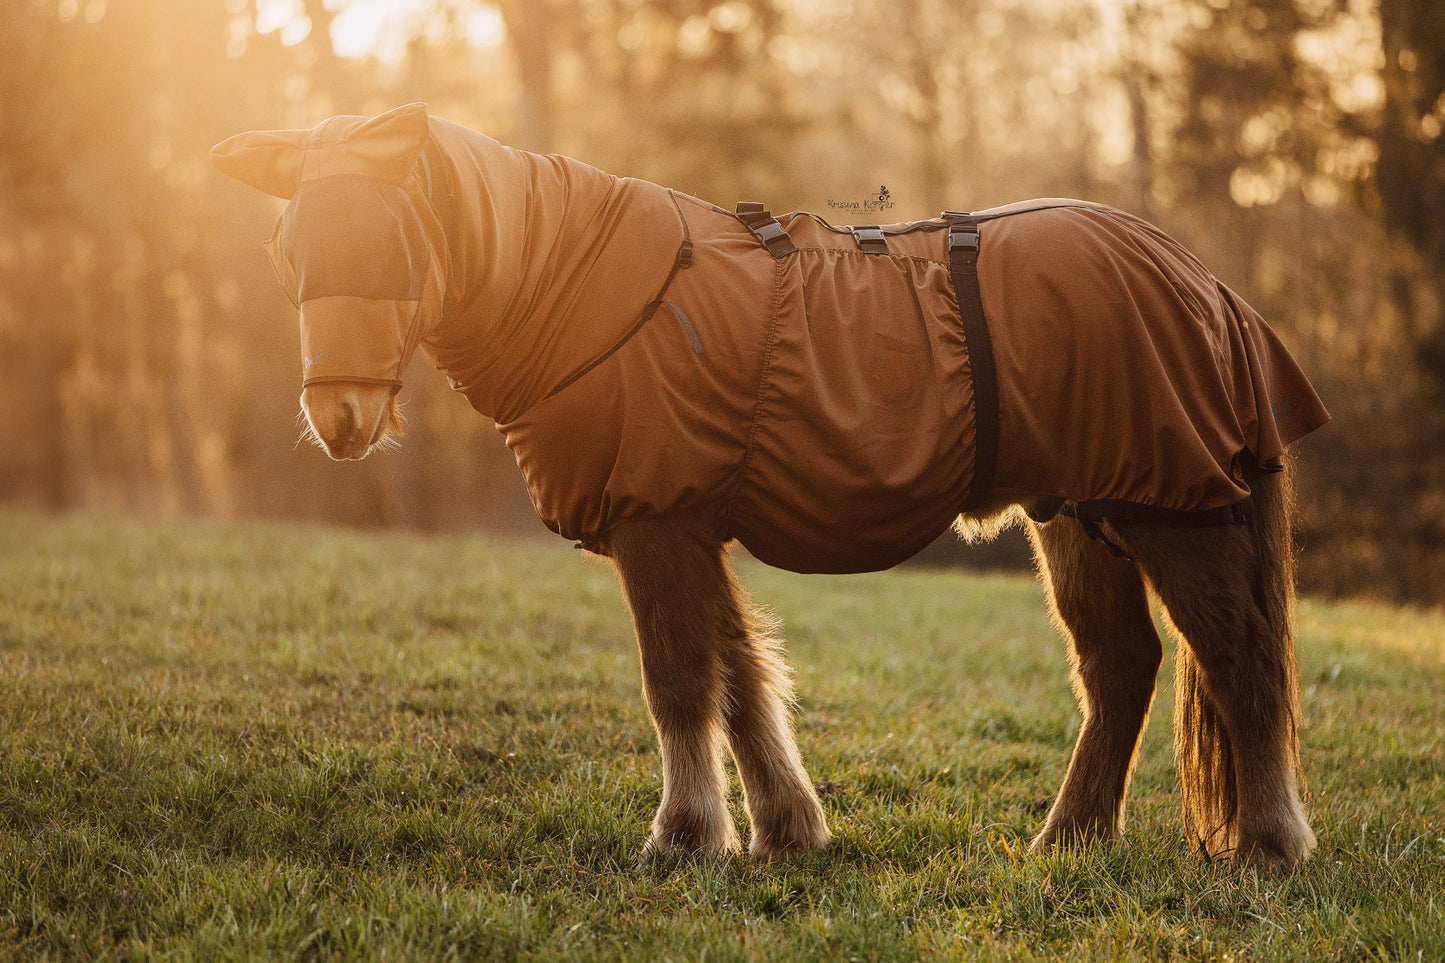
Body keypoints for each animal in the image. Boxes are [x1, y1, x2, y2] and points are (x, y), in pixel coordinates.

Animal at [209, 101, 1323, 867]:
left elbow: (677, 680)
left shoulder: (656, 523)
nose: (339, 417)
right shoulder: (688, 527)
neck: (591, 292)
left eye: (389, 244)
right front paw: (785, 829)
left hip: (1168, 511)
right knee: (1120, 666)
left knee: (1238, 662)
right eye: (287, 248)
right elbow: (739, 679)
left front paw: (683, 835)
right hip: (1079, 518)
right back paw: (1069, 839)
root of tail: (1201, 281)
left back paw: (1268, 845)